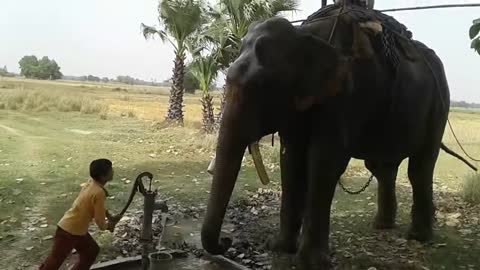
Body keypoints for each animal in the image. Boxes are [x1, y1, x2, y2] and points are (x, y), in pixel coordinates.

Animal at [202, 5, 476, 268]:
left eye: (262, 88)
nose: (226, 241)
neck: (305, 36)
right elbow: (291, 161)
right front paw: (279, 248)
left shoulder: (345, 97)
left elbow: (323, 162)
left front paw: (310, 263)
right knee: (383, 167)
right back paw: (382, 225)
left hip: (439, 105)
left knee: (420, 167)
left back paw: (418, 237)